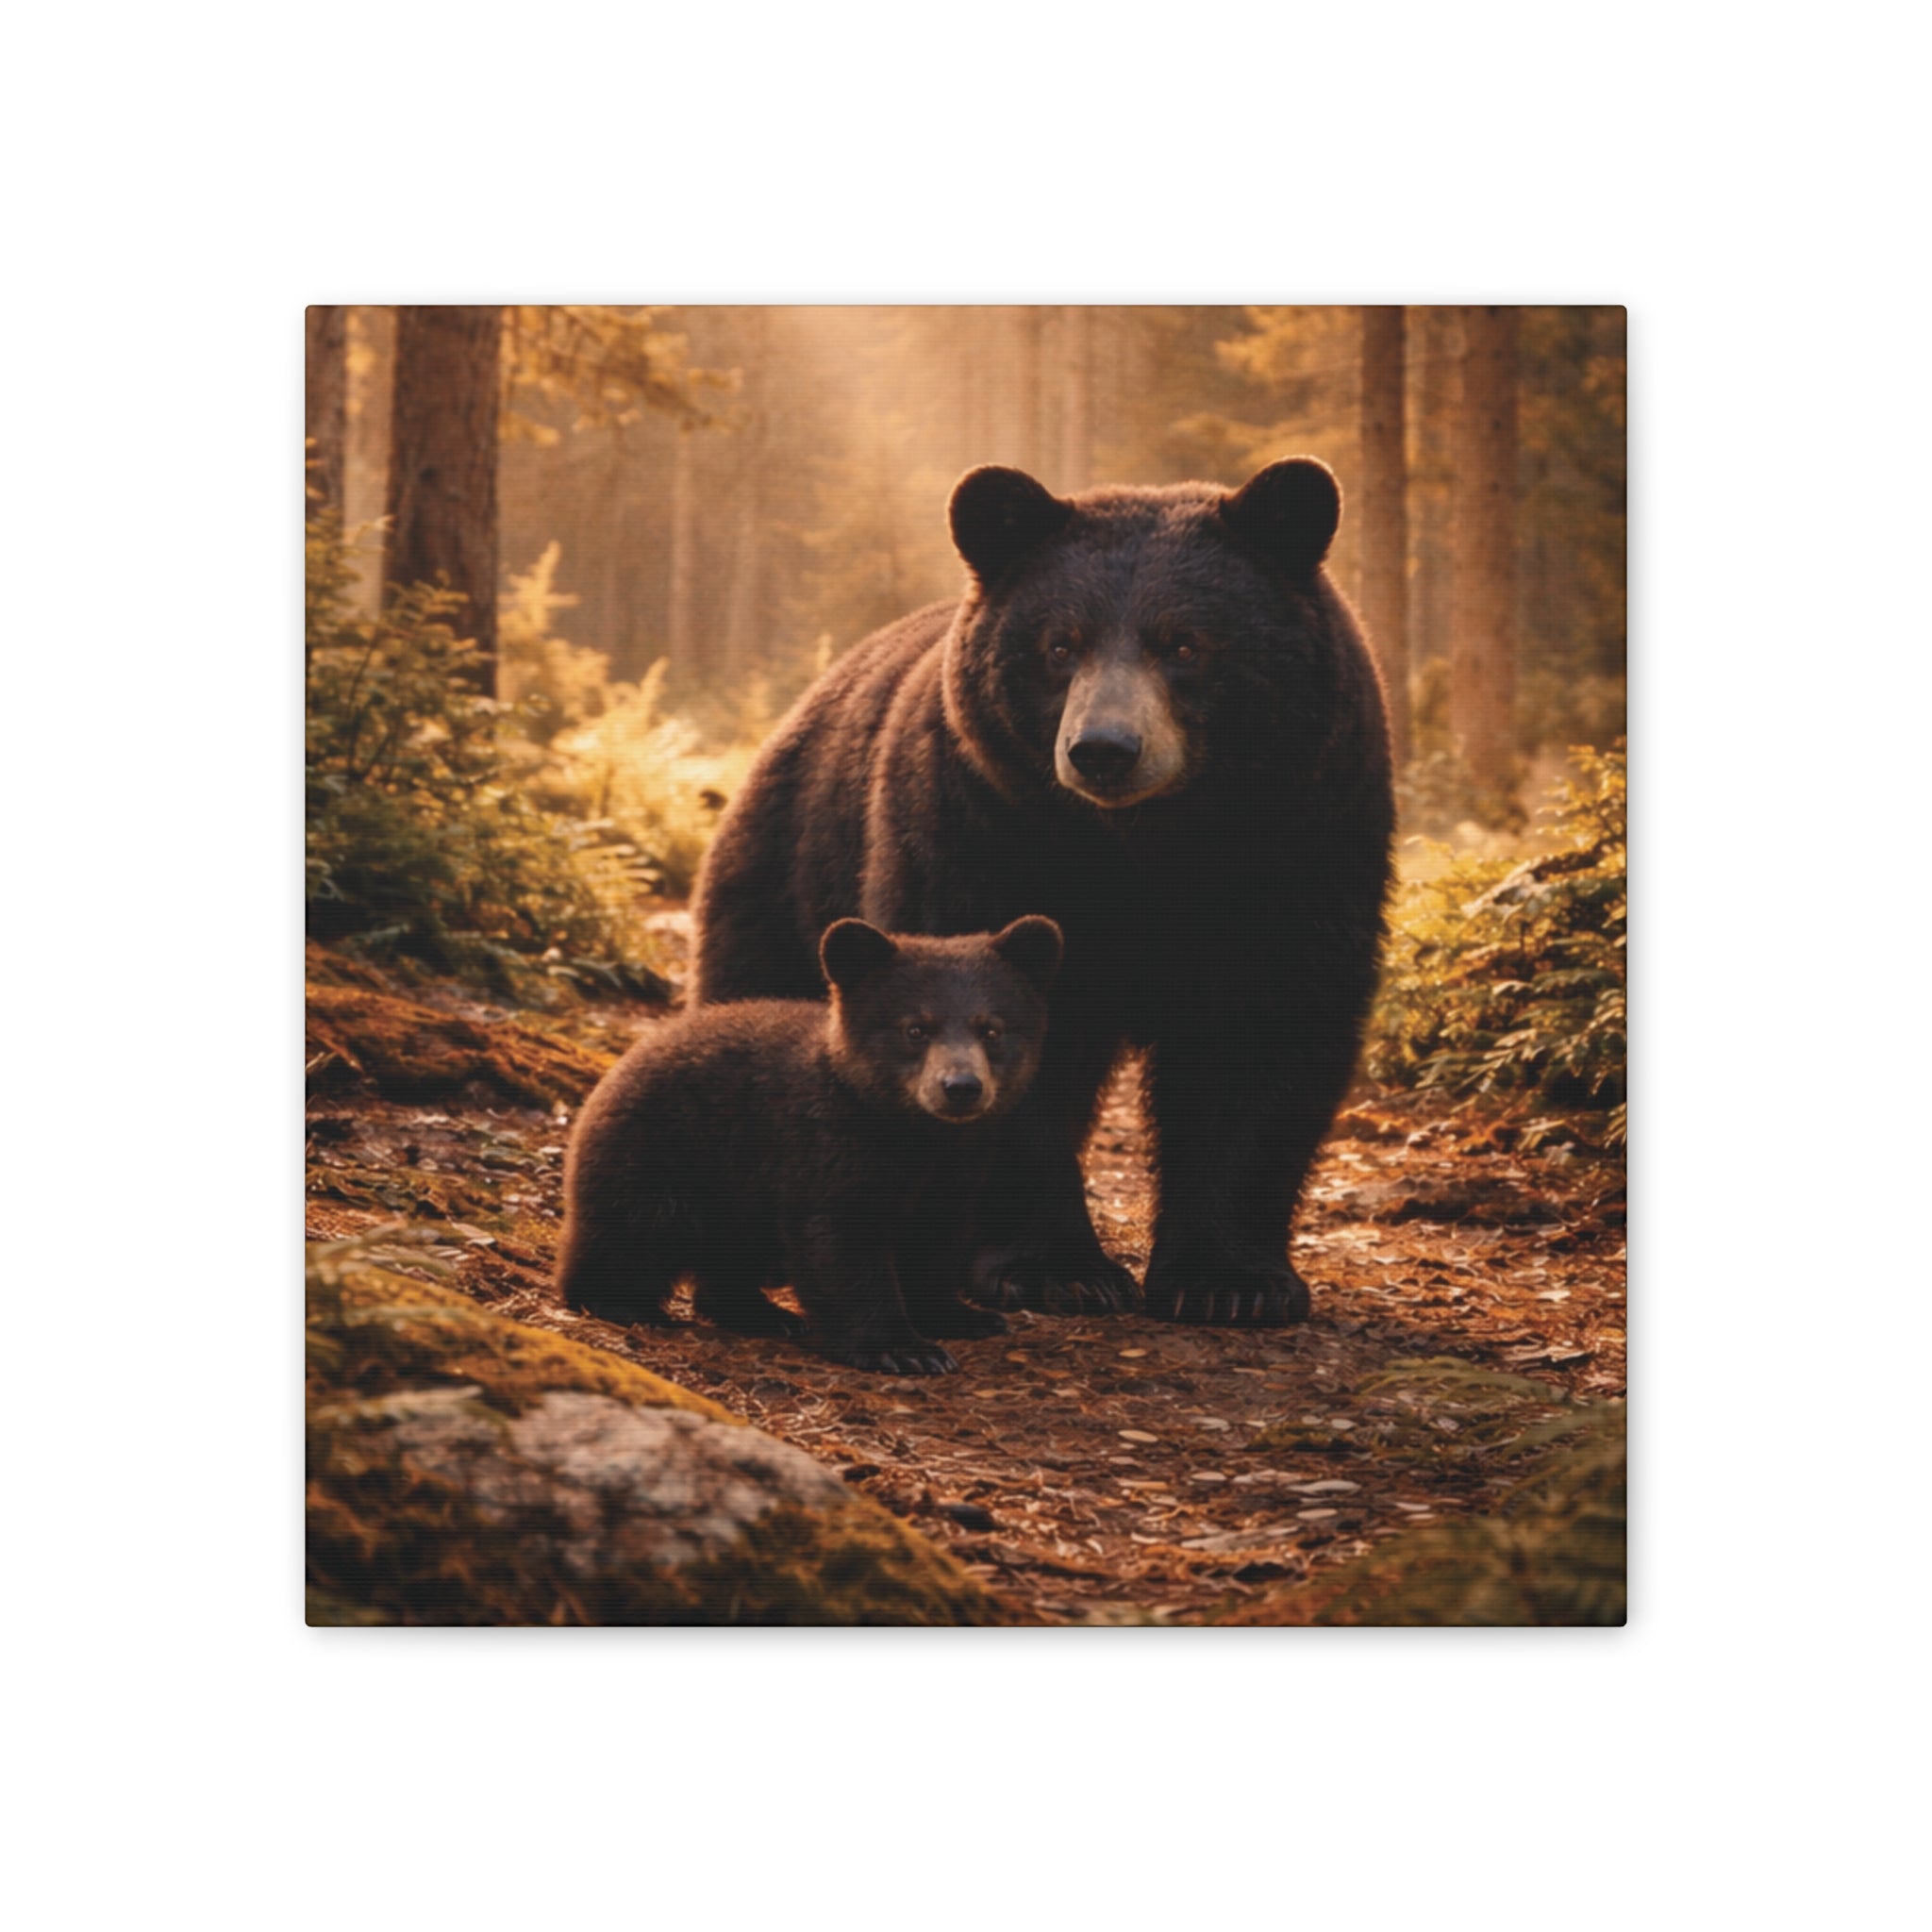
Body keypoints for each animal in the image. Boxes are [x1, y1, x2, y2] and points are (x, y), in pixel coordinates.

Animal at [556, 915, 1064, 1374]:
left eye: (991, 1029)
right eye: (915, 1029)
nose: (961, 1087)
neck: (911, 1134)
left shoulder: (957, 1168)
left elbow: (937, 1239)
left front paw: (963, 1316)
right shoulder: (826, 1149)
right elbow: (841, 1244)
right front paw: (902, 1348)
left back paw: (763, 1313)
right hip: (664, 1157)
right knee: (634, 1233)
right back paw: (624, 1304)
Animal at [691, 458, 1394, 1329]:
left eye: (1184, 642)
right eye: (1062, 643)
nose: (1104, 750)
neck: (1147, 849)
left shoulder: (1303, 843)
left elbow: (1264, 1030)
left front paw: (1231, 1281)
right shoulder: (983, 831)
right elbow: (997, 1025)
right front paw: (1056, 1270)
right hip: (791, 870)